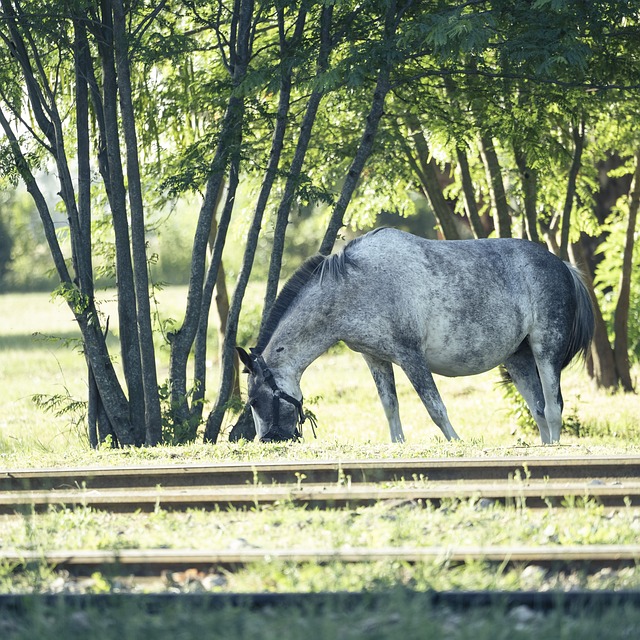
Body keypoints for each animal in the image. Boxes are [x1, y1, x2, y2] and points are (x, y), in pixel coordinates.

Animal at [238, 229, 596, 444]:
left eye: (255, 401)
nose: (267, 440)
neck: (355, 285)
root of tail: (563, 265)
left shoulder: (411, 357)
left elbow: (435, 408)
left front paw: (456, 443)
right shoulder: (375, 359)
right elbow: (390, 408)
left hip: (545, 351)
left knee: (553, 407)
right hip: (518, 359)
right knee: (539, 410)